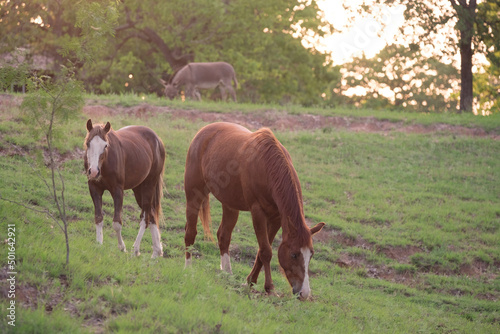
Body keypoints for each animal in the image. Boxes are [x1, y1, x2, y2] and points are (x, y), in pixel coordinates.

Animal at [84, 120, 165, 258]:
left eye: (105, 146)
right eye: (88, 143)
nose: (94, 171)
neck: (105, 163)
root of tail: (158, 140)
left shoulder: (118, 191)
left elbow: (117, 223)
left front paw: (122, 247)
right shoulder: (94, 188)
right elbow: (98, 218)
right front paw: (99, 244)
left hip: (149, 185)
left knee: (145, 218)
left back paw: (136, 249)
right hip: (138, 189)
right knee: (152, 213)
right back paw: (156, 252)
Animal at [184, 122, 324, 300]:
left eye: (311, 254)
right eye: (293, 254)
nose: (304, 293)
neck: (268, 167)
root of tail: (204, 131)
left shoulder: (276, 218)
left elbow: (262, 250)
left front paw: (250, 281)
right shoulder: (258, 213)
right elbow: (266, 251)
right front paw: (269, 287)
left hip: (230, 205)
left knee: (223, 236)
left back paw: (227, 274)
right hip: (193, 196)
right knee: (190, 233)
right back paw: (188, 268)